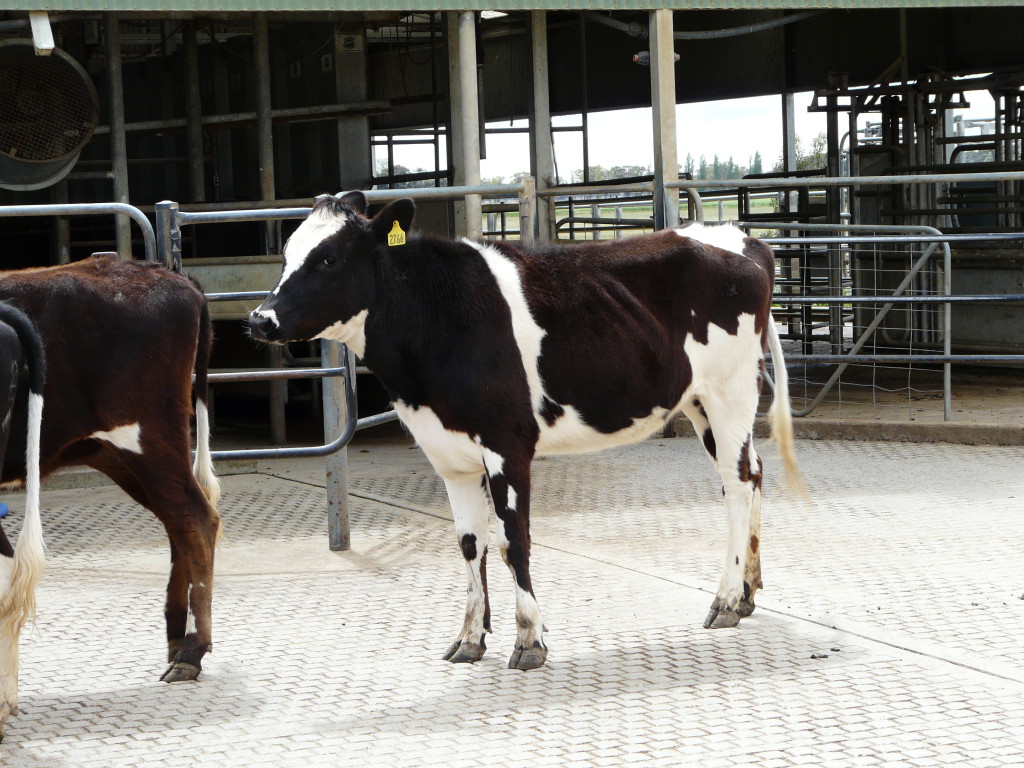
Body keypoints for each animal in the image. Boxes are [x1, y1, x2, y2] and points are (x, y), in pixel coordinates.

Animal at [0, 256, 221, 740]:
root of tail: (170, 275)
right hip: (116, 452)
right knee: (180, 522)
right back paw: (176, 637)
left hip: (147, 438)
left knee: (197, 519)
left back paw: (192, 652)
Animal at [249, 192, 803, 670]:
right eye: (288, 252)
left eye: (329, 259)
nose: (260, 319)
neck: (437, 315)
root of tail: (741, 239)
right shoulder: (446, 453)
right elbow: (470, 542)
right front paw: (470, 638)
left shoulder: (507, 444)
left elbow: (513, 539)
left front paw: (529, 639)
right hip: (700, 402)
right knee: (752, 472)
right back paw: (748, 593)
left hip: (731, 391)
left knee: (737, 483)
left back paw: (726, 599)